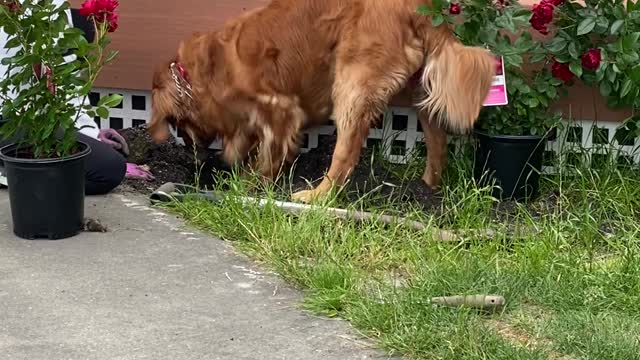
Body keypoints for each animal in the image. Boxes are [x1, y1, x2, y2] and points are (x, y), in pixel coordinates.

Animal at [149, 0, 496, 202]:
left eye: (178, 126)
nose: (192, 156)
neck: (205, 71)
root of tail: (417, 7)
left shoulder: (279, 107)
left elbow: (268, 153)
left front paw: (250, 185)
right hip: (419, 91)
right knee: (437, 142)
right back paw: (427, 188)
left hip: (352, 82)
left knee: (346, 154)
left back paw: (317, 195)